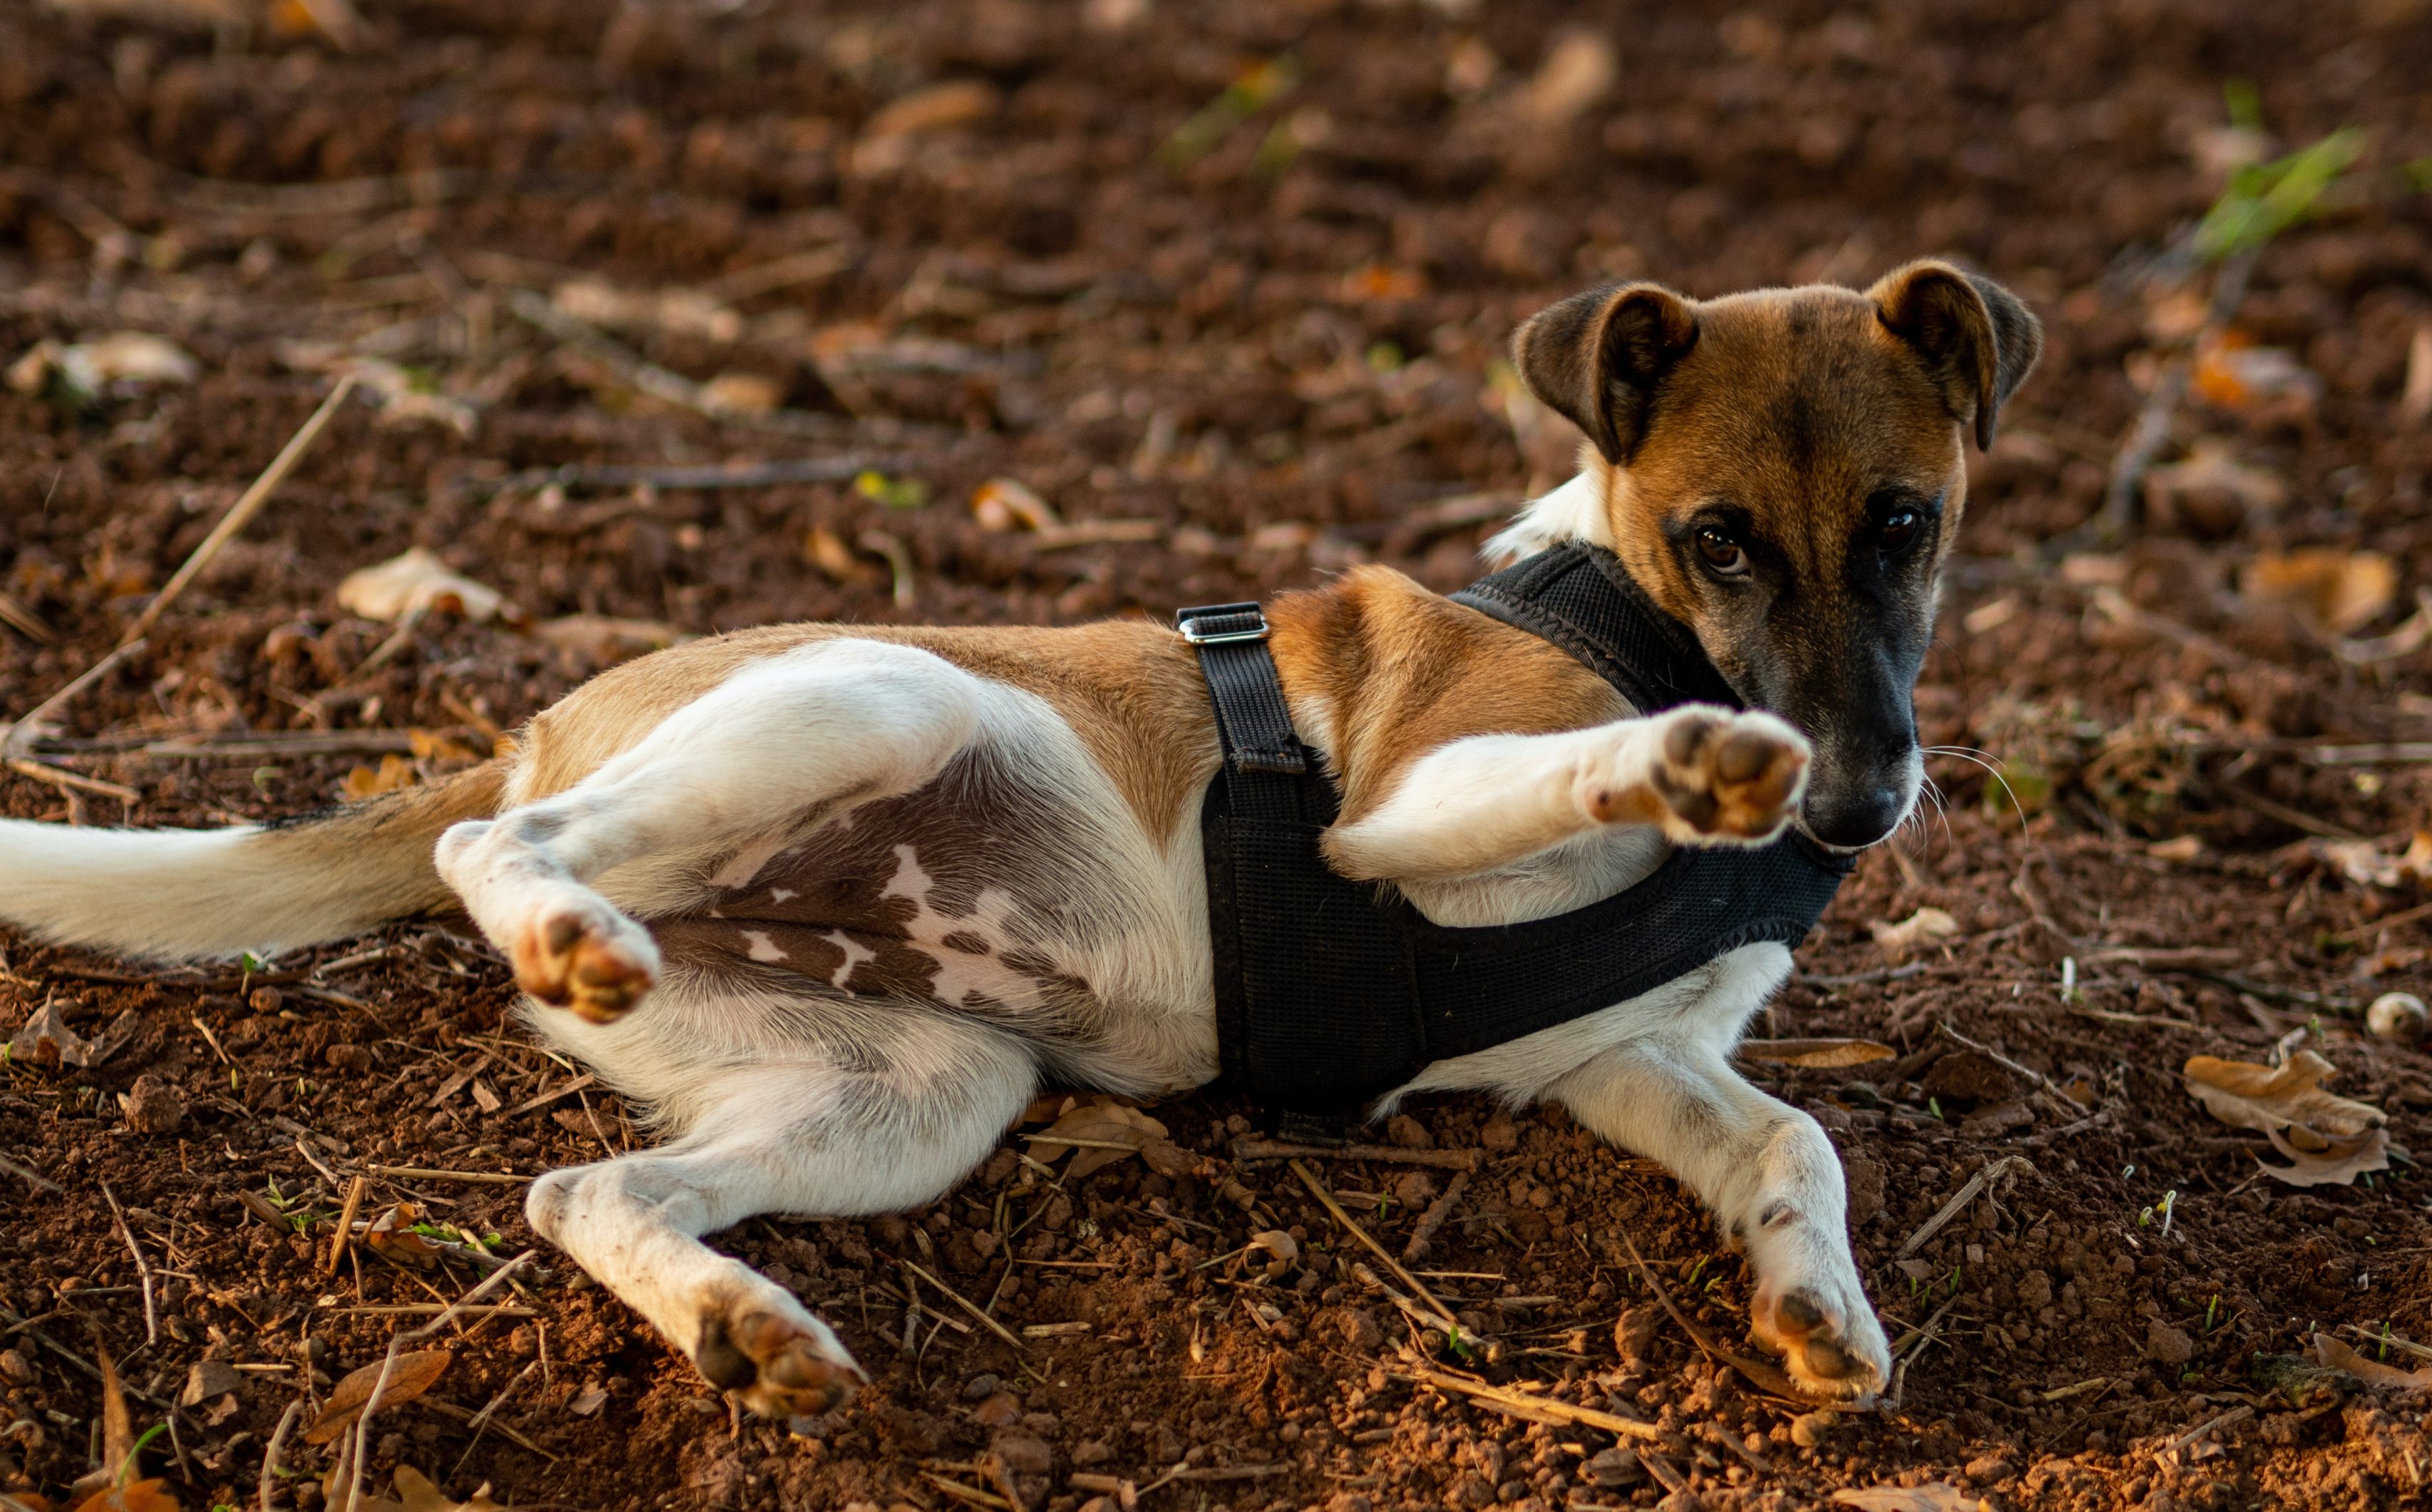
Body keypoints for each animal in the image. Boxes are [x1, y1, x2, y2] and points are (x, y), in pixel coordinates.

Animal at [0, 263, 2033, 1419]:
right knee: (498, 860)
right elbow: (1594, 765)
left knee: (586, 1192)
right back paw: (560, 917)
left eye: (1907, 522)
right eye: (1715, 541)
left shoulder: (1623, 1055)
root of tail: (527, 733)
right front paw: (1695, 753)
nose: (1854, 802)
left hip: (910, 1097)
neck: (1613, 601)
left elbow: (1792, 1144)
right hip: (880, 700)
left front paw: (1816, 1305)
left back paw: (740, 1326)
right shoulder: (1399, 822)